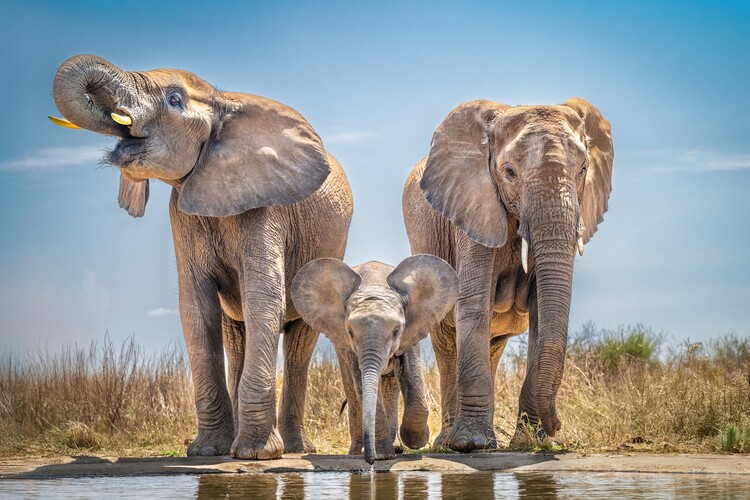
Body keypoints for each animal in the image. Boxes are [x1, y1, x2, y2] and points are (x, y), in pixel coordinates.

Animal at [49, 54, 353, 459]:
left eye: (174, 100)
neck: (221, 100)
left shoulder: (267, 208)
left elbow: (263, 299)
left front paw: (256, 455)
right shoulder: (181, 214)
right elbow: (196, 307)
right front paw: (208, 451)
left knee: (298, 345)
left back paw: (294, 449)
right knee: (235, 335)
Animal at [291, 255, 458, 464]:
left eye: (396, 331)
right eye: (350, 332)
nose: (370, 461)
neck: (374, 283)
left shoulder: (412, 330)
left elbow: (412, 376)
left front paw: (416, 441)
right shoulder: (348, 344)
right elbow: (361, 383)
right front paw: (382, 455)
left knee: (390, 386)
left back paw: (394, 447)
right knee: (354, 390)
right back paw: (358, 451)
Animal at [403, 98, 614, 451]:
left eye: (583, 169)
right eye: (510, 172)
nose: (558, 426)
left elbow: (542, 311)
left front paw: (532, 441)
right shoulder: (471, 206)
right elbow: (474, 303)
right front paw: (472, 444)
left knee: (493, 343)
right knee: (446, 341)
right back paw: (451, 442)